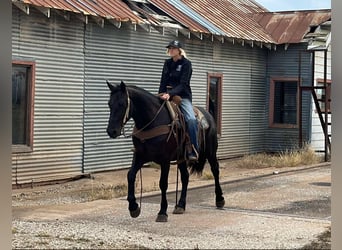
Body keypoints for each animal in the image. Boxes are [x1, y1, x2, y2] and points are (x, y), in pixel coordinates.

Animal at [107, 81, 224, 222]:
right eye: (109, 104)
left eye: (122, 104)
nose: (111, 131)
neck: (151, 120)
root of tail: (208, 115)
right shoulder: (140, 156)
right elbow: (130, 175)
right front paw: (133, 207)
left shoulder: (165, 160)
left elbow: (163, 183)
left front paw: (162, 212)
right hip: (182, 158)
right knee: (185, 177)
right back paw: (180, 205)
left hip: (211, 153)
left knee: (215, 171)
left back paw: (220, 199)